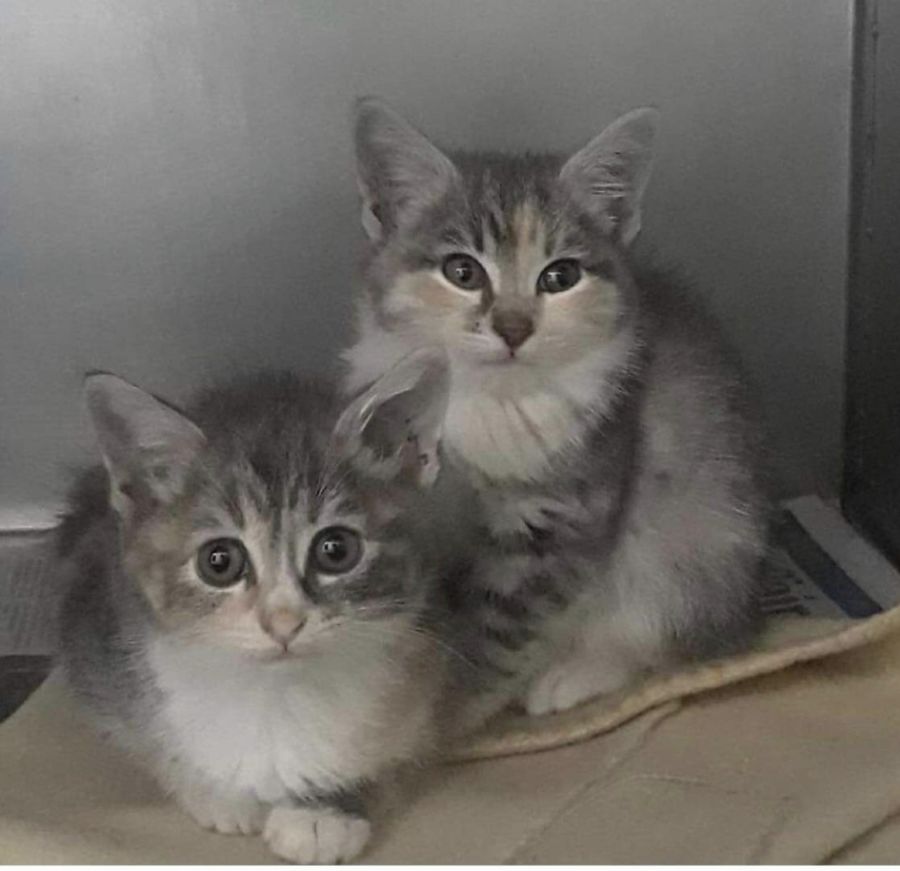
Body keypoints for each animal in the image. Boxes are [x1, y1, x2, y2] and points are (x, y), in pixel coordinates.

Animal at [57, 349, 451, 863]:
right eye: (219, 561)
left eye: (336, 550)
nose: (283, 622)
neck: (274, 696)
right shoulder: (95, 641)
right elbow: (144, 740)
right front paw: (214, 791)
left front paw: (324, 811)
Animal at [344, 98, 770, 728]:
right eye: (463, 272)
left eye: (560, 276)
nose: (514, 327)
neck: (485, 401)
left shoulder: (562, 517)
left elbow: (500, 630)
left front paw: (450, 714)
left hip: (699, 534)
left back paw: (576, 674)